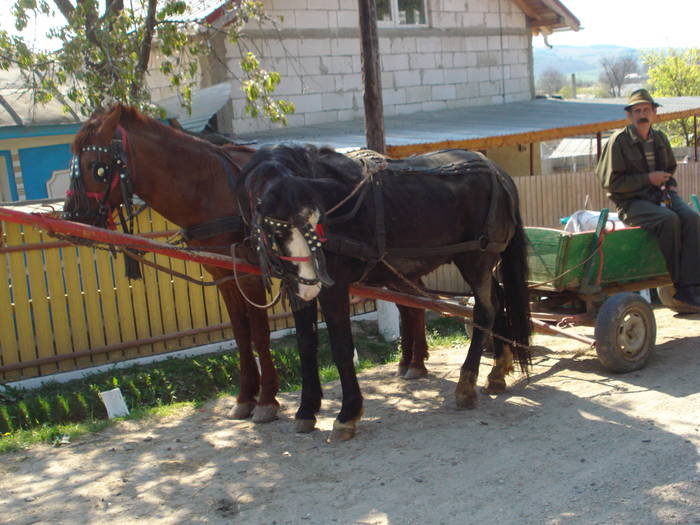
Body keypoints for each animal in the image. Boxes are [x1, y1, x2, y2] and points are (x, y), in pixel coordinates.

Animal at [60, 104, 278, 420]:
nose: (72, 218)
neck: (210, 187)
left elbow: (260, 334)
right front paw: (246, 396)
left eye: (96, 167)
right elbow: (240, 334)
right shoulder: (224, 277)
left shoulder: (249, 277)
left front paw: (267, 400)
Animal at [235, 142, 532, 438]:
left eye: (318, 221)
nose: (313, 283)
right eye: (279, 232)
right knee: (498, 299)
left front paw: (348, 413)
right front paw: (307, 410)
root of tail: (499, 173)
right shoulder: (295, 288)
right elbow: (306, 345)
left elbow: (341, 347)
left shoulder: (335, 287)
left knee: (485, 310)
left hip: (476, 259)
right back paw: (498, 371)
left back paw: (466, 385)